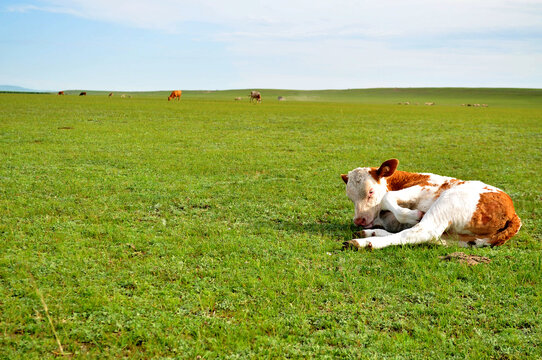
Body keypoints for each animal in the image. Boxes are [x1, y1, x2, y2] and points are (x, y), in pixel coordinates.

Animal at [342, 159, 524, 249]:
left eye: (371, 191)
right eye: (350, 197)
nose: (359, 220)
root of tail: (513, 213)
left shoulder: (424, 188)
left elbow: (387, 197)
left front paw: (412, 215)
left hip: (448, 200)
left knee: (421, 232)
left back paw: (364, 243)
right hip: (462, 239)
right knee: (430, 238)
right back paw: (370, 234)